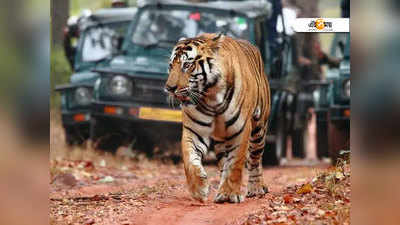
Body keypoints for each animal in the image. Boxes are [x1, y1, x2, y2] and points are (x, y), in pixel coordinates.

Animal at [164, 33, 270, 204]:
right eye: (170, 66)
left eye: (187, 65)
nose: (169, 88)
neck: (211, 96)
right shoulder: (194, 130)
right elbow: (189, 160)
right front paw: (199, 190)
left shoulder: (240, 130)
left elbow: (235, 163)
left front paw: (230, 193)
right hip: (221, 140)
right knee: (223, 163)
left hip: (259, 128)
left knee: (255, 158)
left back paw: (256, 188)